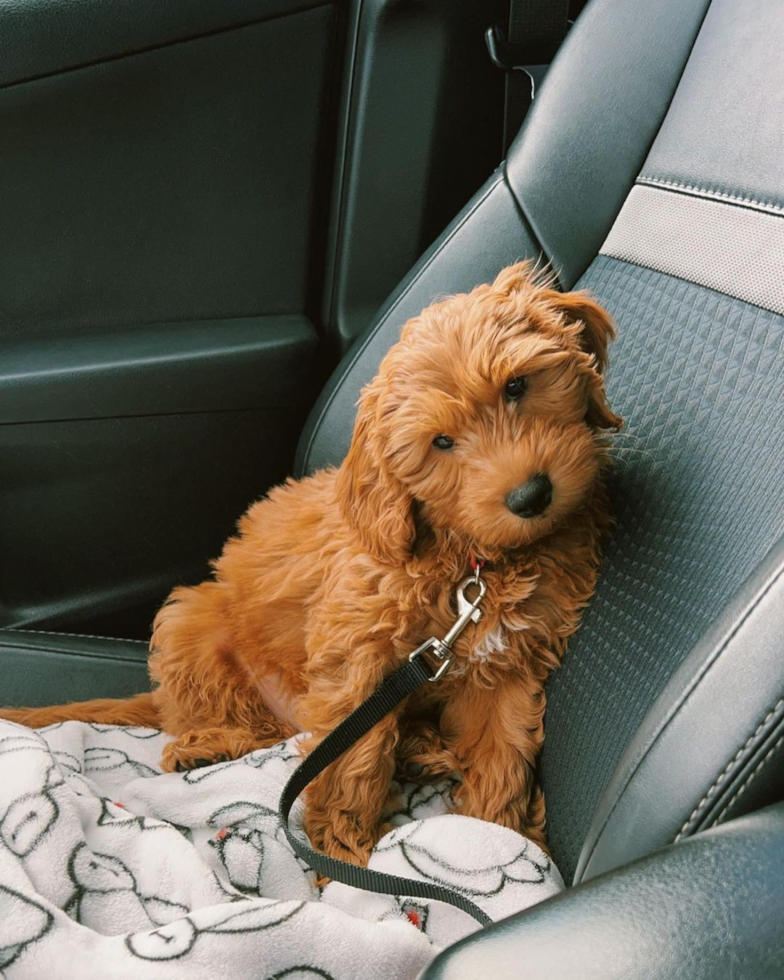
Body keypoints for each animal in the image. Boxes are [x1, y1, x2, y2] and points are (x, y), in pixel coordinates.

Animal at [3, 260, 620, 864]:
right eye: (441, 443)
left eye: (517, 385)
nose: (530, 496)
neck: (472, 564)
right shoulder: (360, 661)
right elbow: (352, 760)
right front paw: (341, 857)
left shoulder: (509, 666)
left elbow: (502, 755)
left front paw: (494, 835)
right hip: (192, 624)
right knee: (243, 723)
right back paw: (209, 746)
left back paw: (421, 750)